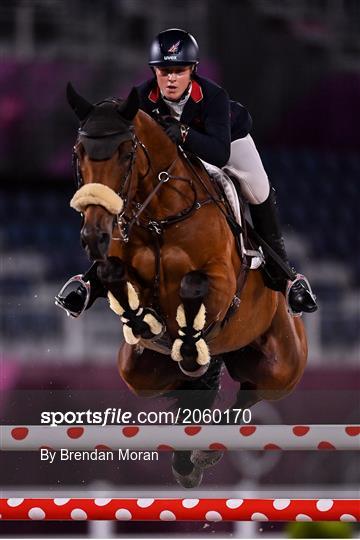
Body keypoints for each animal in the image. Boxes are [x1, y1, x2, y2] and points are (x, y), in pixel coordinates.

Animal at [64, 83, 306, 490]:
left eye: (127, 153)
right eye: (79, 153)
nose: (94, 236)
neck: (161, 216)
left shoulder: (222, 283)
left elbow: (194, 284)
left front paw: (184, 333)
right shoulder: (121, 265)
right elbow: (113, 274)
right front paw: (144, 321)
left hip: (282, 367)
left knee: (250, 395)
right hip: (138, 372)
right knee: (191, 395)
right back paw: (187, 454)